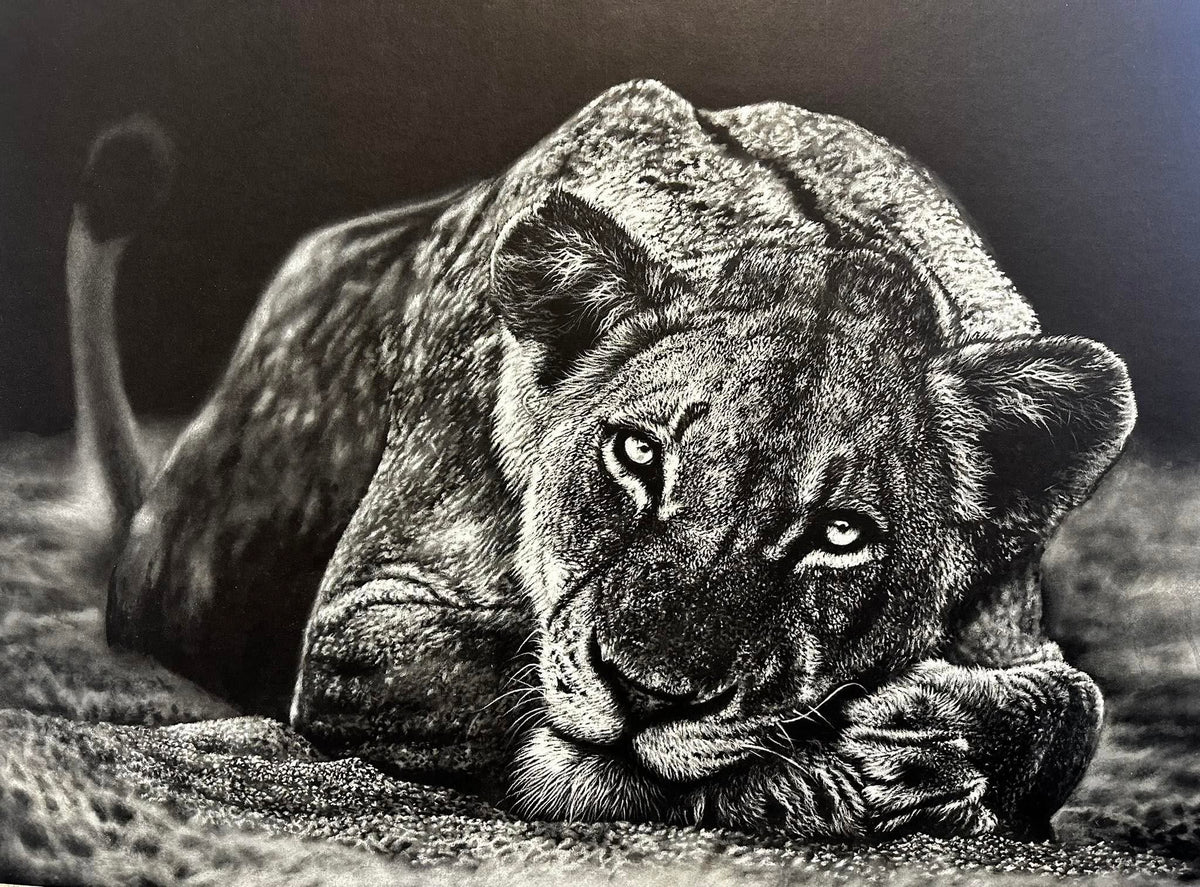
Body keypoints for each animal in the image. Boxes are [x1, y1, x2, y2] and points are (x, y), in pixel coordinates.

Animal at [71, 81, 1134, 840]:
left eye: (840, 535)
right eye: (636, 453)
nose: (646, 694)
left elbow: (1072, 704)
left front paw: (918, 740)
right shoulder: (360, 622)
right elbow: (495, 662)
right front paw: (837, 769)